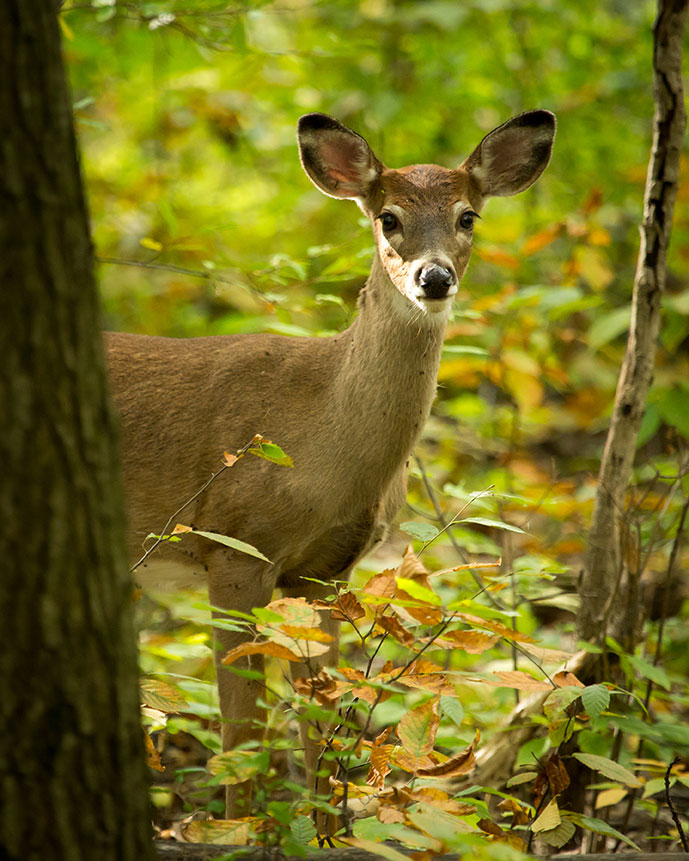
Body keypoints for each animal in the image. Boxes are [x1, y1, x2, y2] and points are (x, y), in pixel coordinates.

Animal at [105, 109, 555, 819]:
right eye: (388, 217)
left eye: (468, 216)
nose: (434, 278)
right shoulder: (234, 546)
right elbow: (243, 731)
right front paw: (240, 829)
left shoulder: (324, 572)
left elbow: (322, 723)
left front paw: (326, 828)